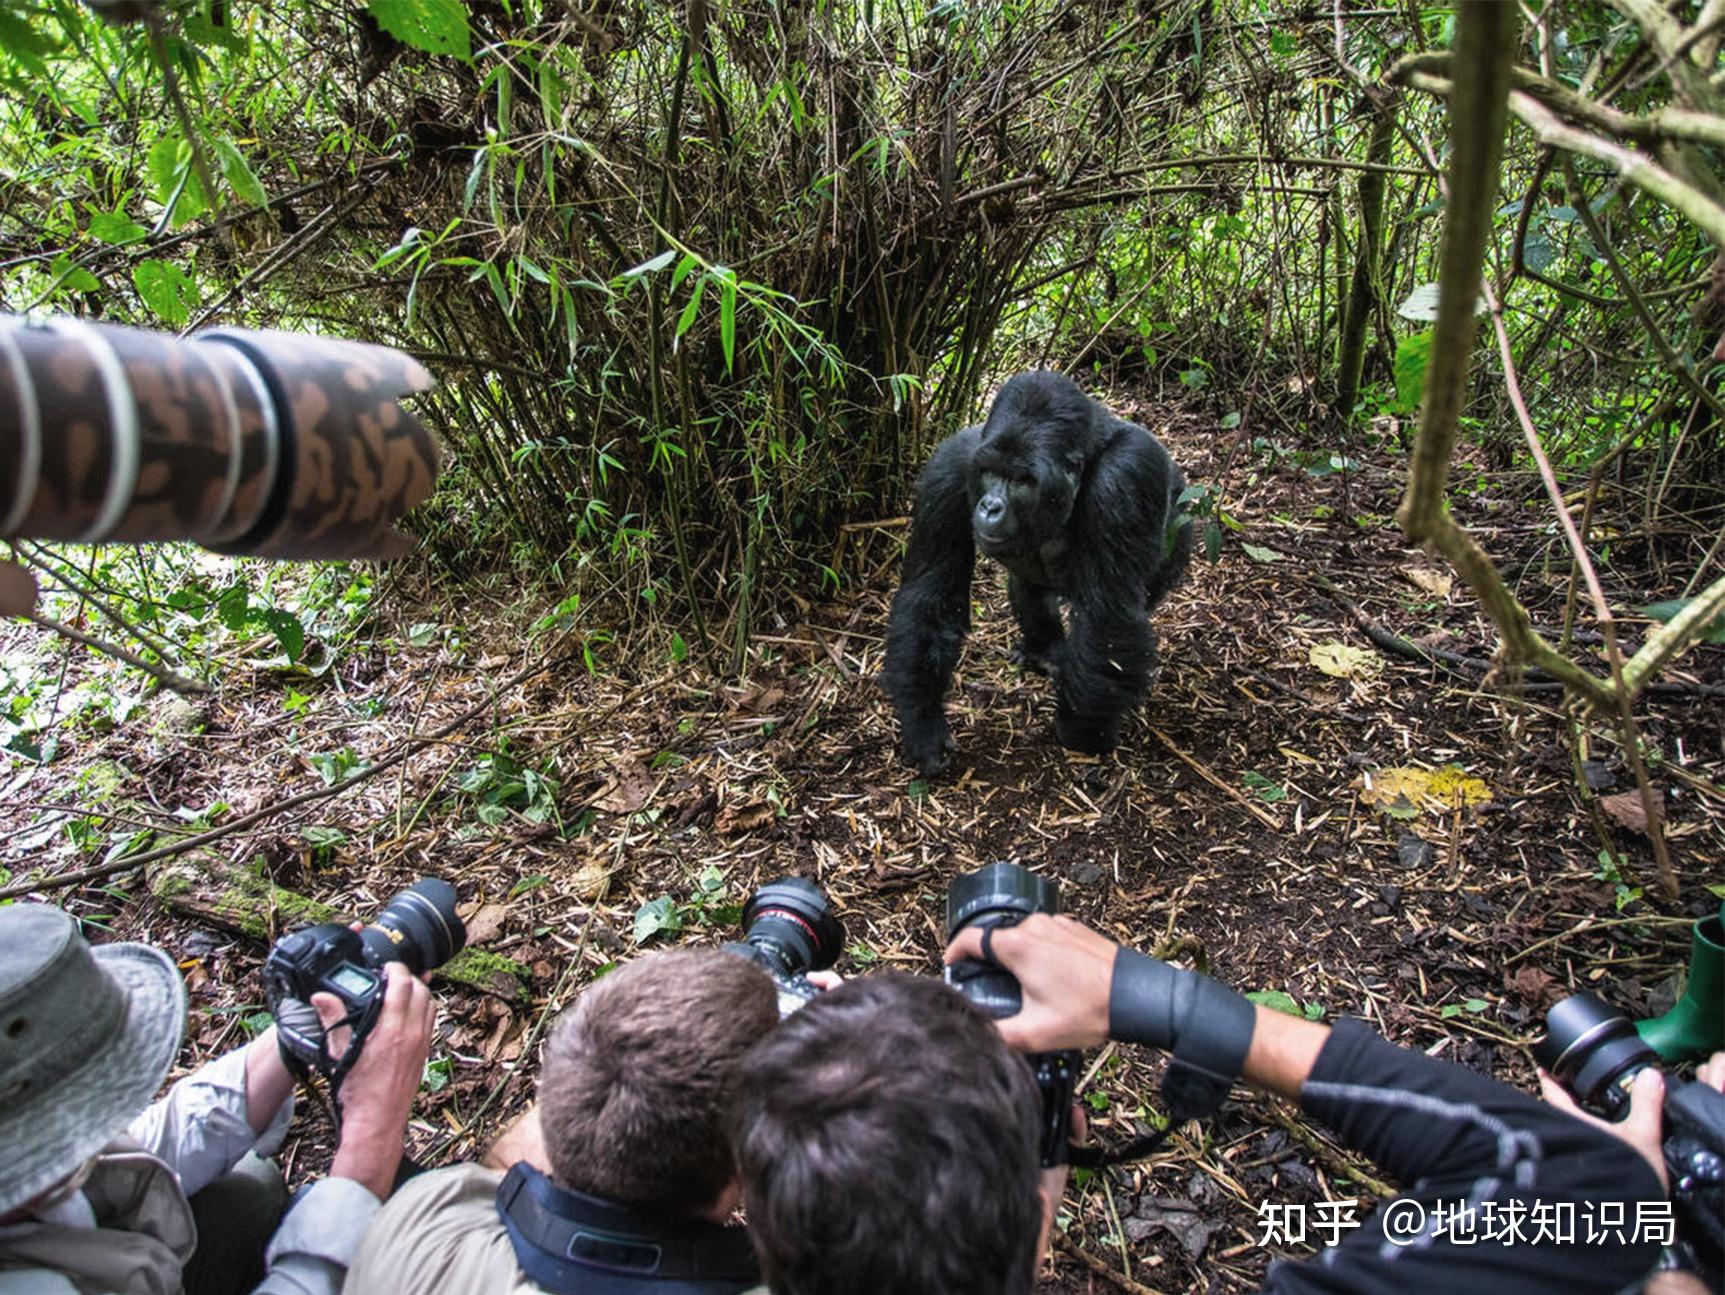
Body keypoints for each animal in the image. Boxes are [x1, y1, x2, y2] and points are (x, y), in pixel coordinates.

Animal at [883, 374, 1193, 779]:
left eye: (1022, 480)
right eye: (991, 473)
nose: (990, 506)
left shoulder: (1126, 477)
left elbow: (1107, 616)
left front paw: (1082, 731)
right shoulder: (948, 468)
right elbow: (931, 594)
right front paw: (923, 723)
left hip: (1181, 539)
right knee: (1029, 589)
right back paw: (1044, 650)